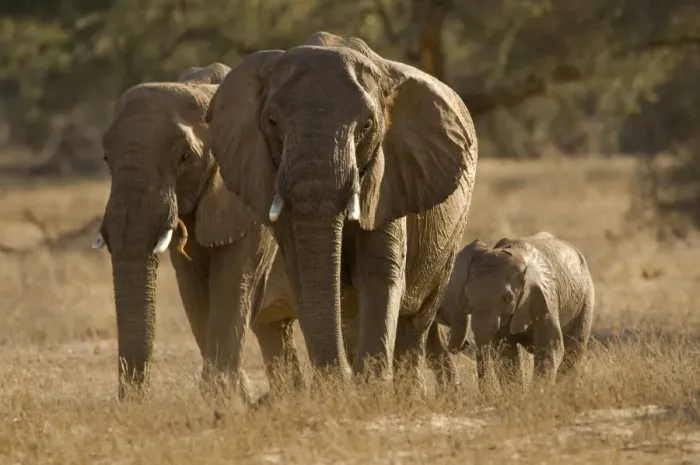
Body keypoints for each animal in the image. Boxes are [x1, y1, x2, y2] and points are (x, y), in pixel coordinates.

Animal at [93, 62, 310, 401]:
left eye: (185, 157)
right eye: (106, 158)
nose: (136, 403)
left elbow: (232, 285)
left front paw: (226, 395)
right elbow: (194, 293)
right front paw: (233, 396)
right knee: (275, 328)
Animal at [205, 31, 478, 391]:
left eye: (367, 126)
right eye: (272, 122)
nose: (340, 378)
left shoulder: (390, 176)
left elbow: (379, 270)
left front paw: (369, 389)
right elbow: (302, 272)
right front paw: (337, 387)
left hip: (451, 233)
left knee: (416, 322)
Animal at [445, 232, 595, 391]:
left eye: (507, 299)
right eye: (467, 297)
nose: (466, 343)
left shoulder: (545, 296)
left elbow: (550, 346)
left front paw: (538, 392)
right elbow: (505, 352)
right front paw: (515, 392)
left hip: (586, 296)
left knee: (575, 347)